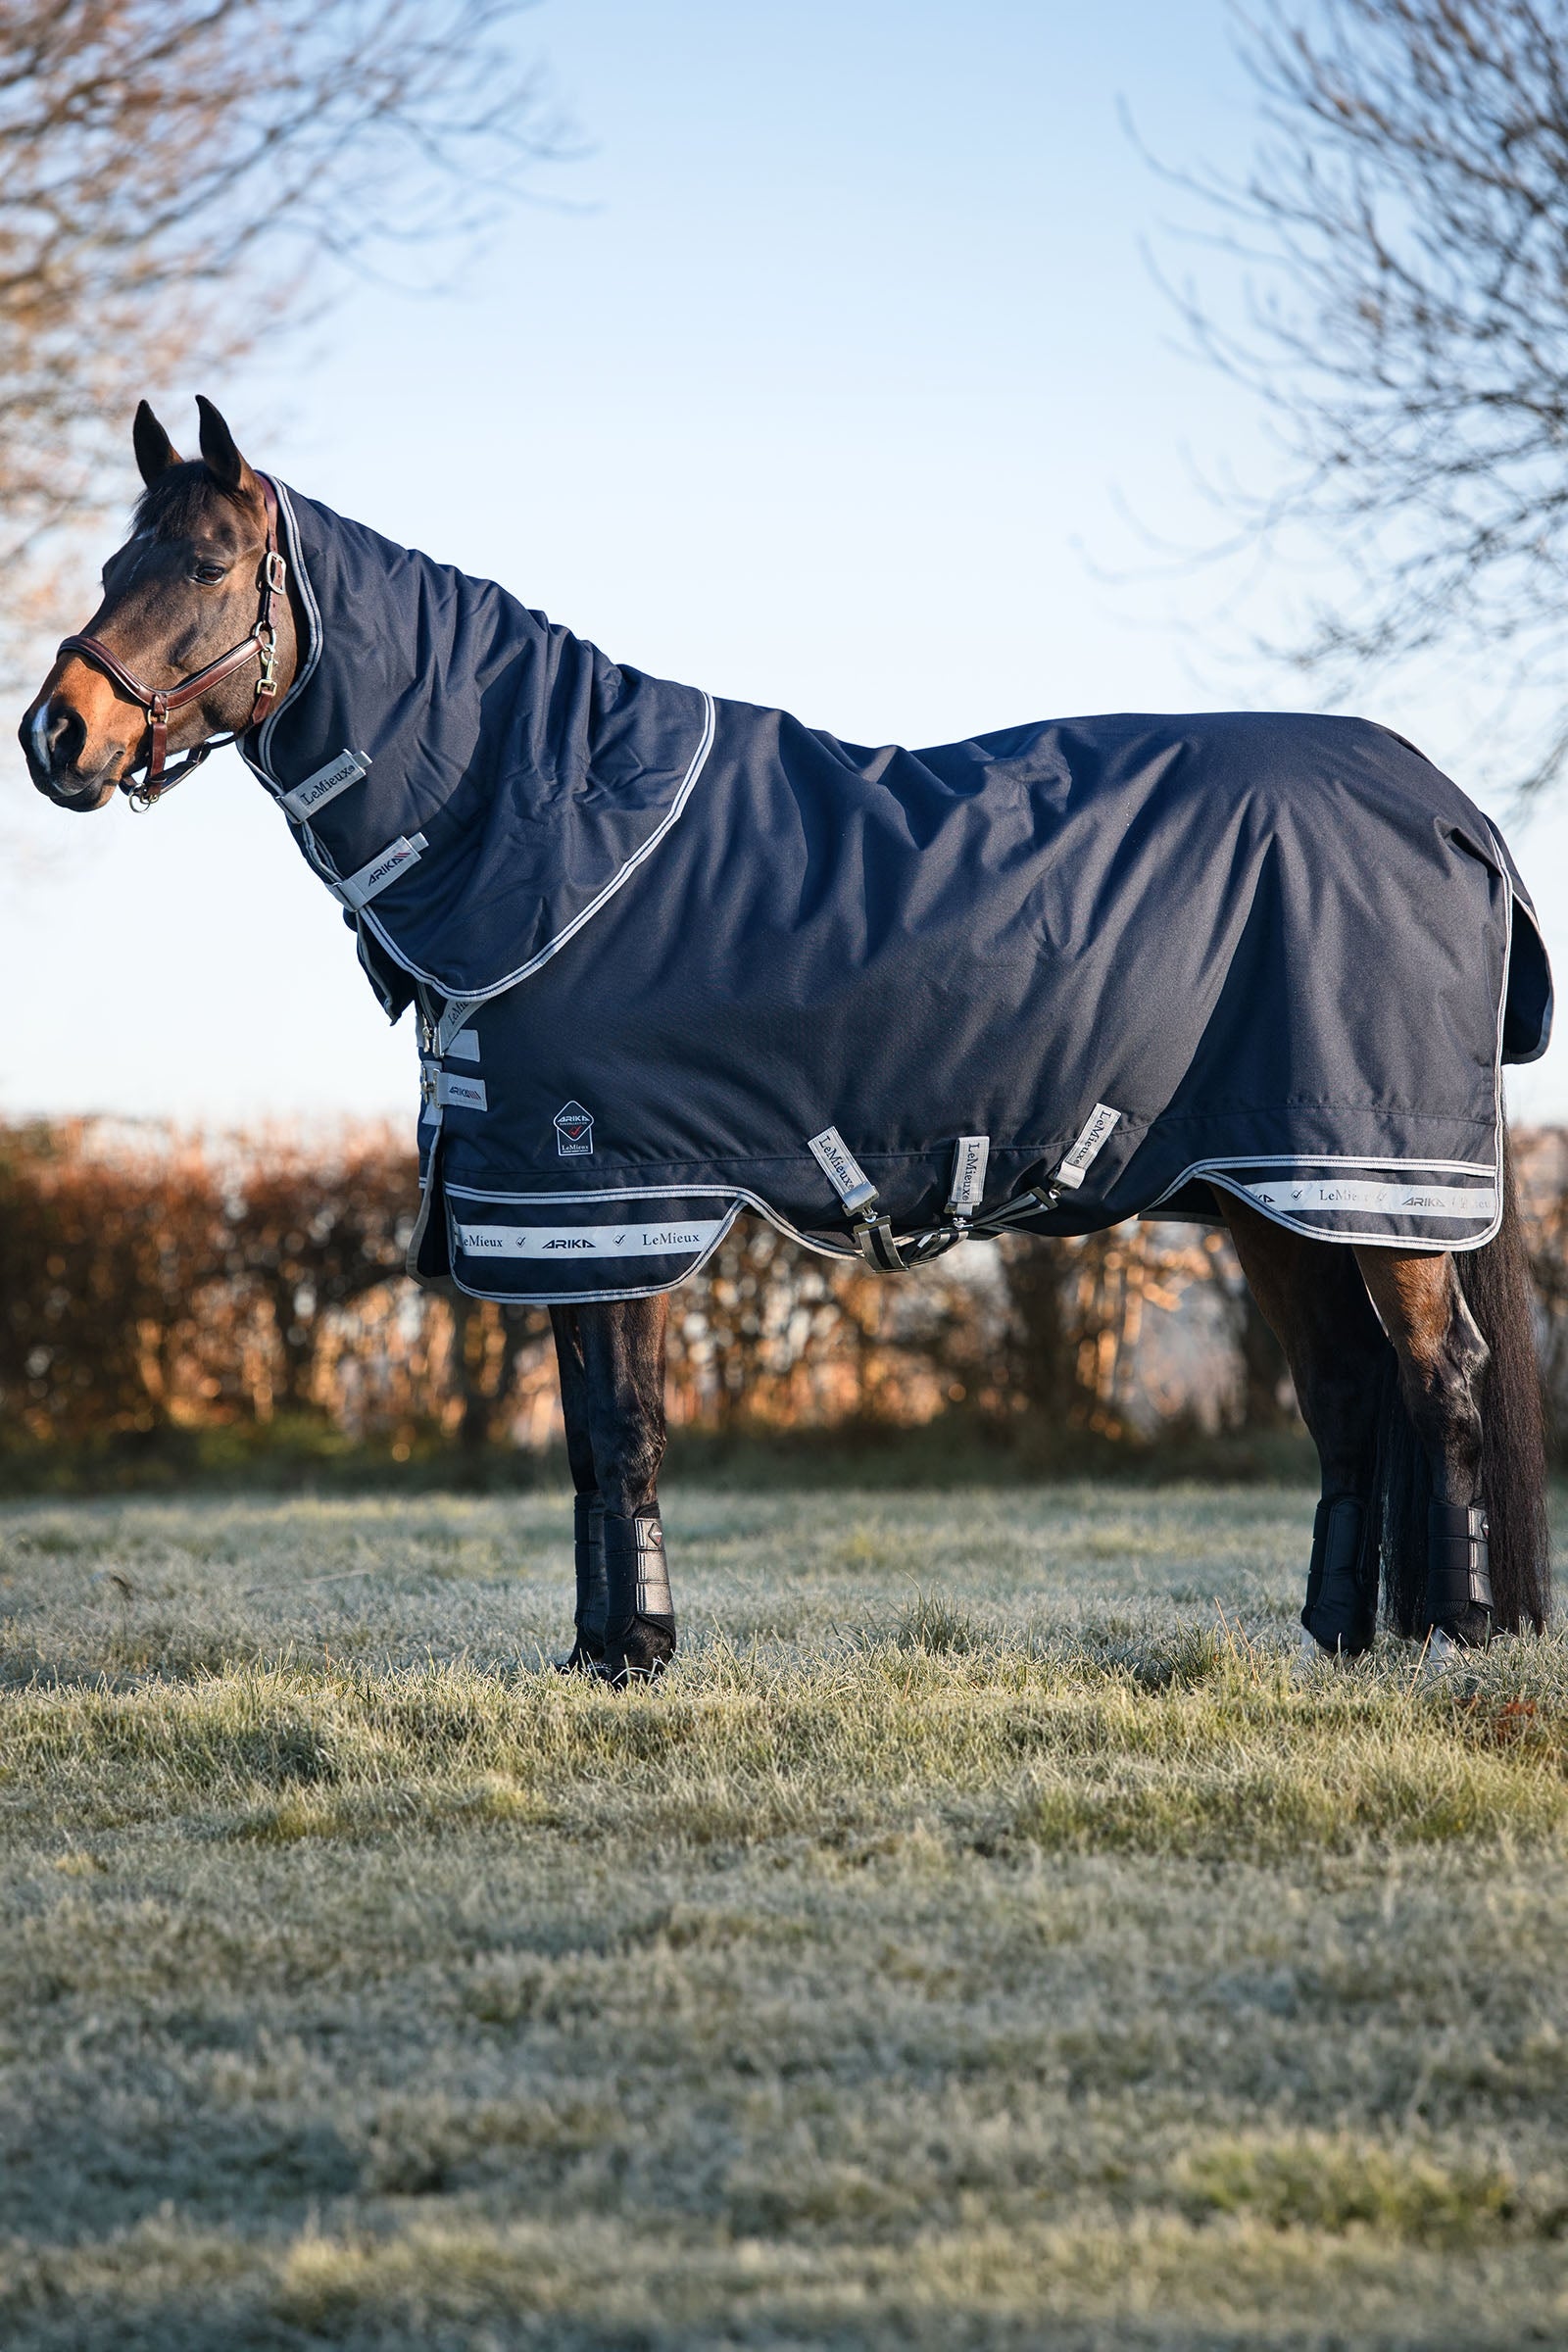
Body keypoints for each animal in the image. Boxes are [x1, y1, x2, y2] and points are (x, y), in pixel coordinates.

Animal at [21, 397, 1553, 1680]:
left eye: (207, 565)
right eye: (109, 564)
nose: (55, 736)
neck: (549, 822)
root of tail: (1457, 809)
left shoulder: (609, 1193)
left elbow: (623, 1431)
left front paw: (634, 1655)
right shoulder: (563, 1211)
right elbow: (590, 1442)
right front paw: (600, 1652)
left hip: (1366, 1180)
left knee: (1439, 1383)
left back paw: (1450, 1638)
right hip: (1270, 1196)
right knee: (1350, 1398)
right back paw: (1336, 1642)